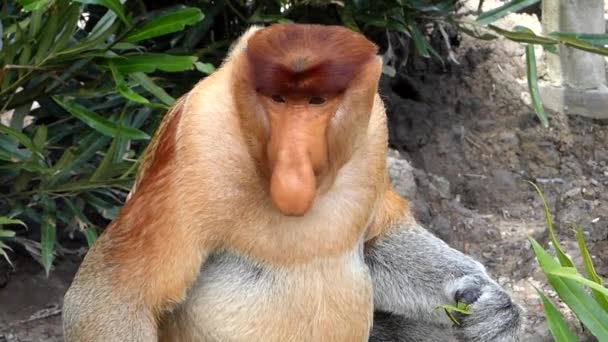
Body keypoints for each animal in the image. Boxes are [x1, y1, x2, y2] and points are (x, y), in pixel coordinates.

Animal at [65, 24, 524, 342]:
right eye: (278, 99)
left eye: (318, 101)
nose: (293, 162)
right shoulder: (198, 143)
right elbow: (118, 294)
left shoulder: (373, 132)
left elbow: (377, 241)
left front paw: (494, 307)